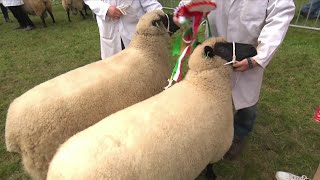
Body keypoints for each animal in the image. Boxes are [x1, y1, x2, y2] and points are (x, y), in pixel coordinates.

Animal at [47, 37, 258, 179]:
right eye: (223, 47)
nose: (253, 47)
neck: (204, 87)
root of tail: (56, 171)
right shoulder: (214, 149)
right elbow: (210, 169)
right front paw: (212, 177)